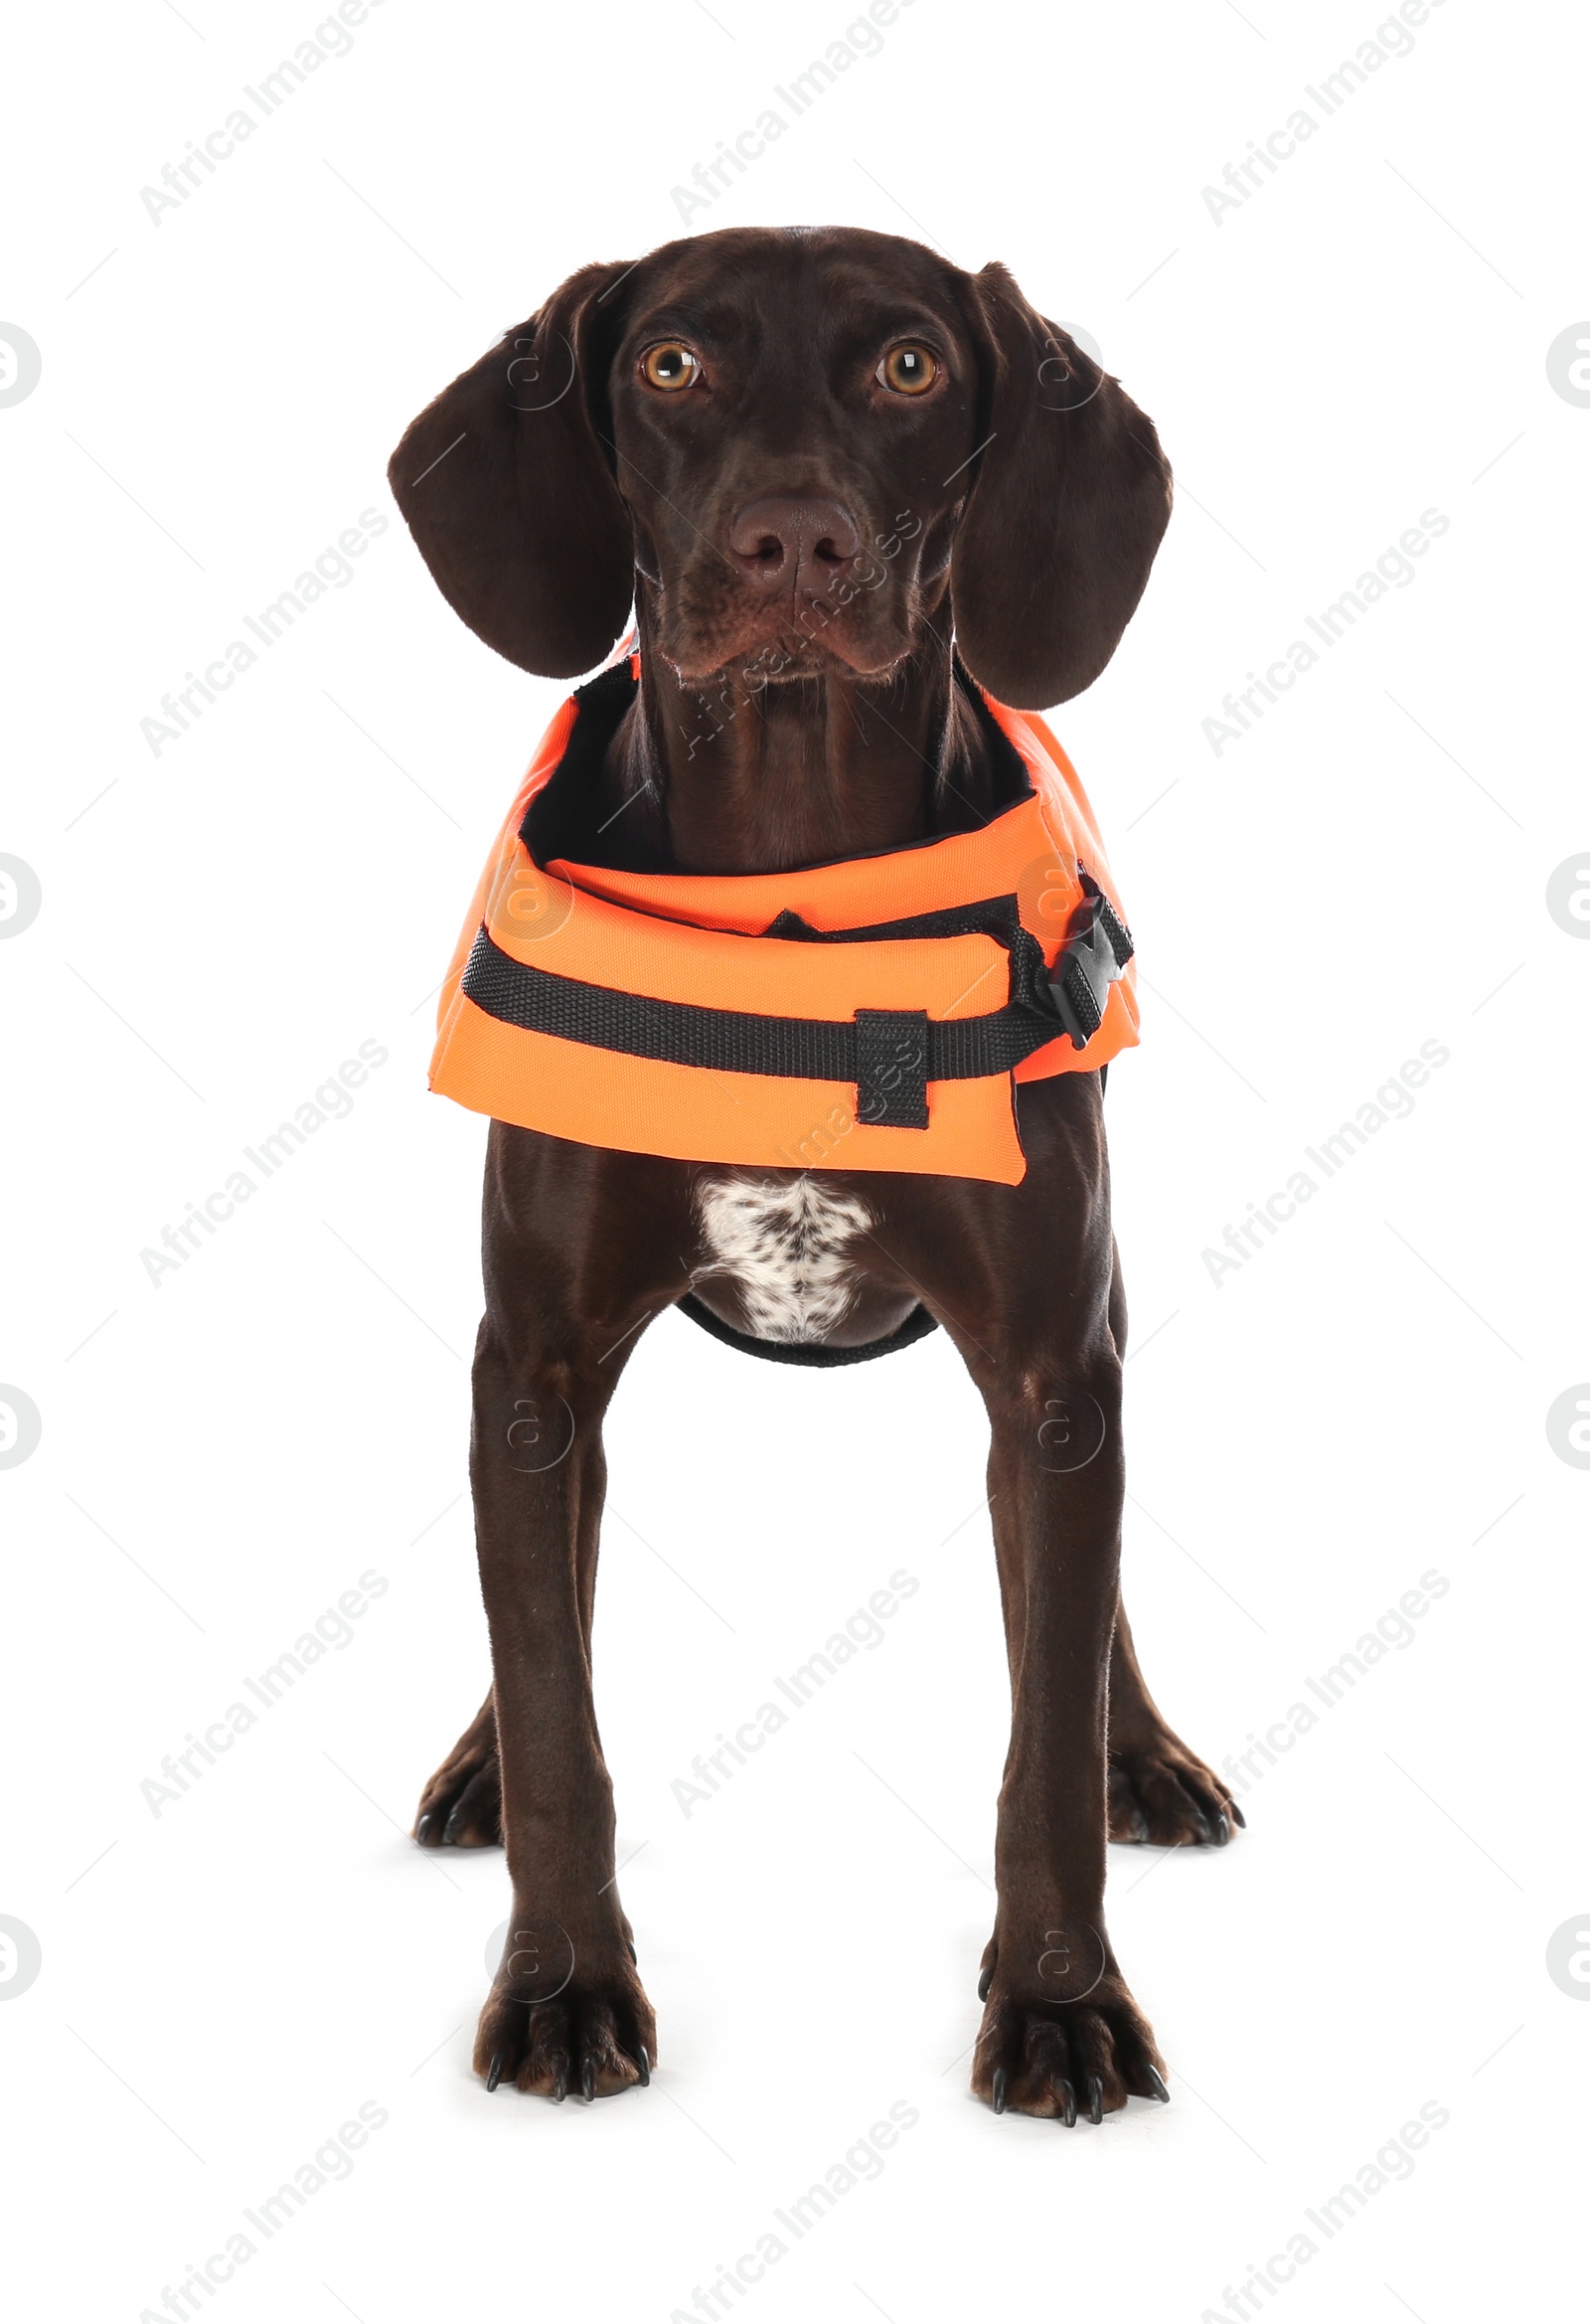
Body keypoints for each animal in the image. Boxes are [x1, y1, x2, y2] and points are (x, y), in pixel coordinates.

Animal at [388, 222, 1245, 2128]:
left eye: (912, 365)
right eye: (673, 365)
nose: (792, 540)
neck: (793, 876)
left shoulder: (1051, 1375)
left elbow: (1041, 1744)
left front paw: (1061, 2001)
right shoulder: (531, 1368)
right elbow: (557, 1709)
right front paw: (563, 1980)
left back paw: (1143, 1743)